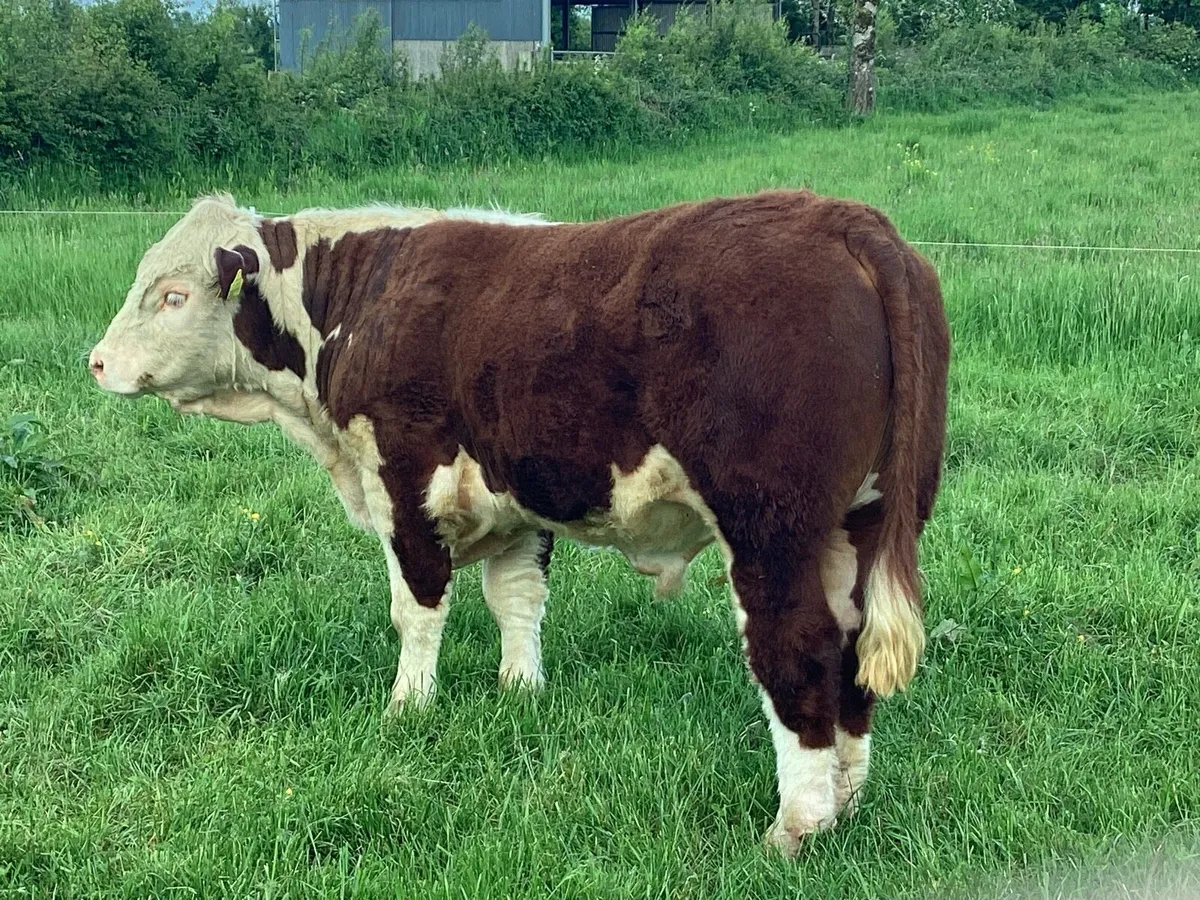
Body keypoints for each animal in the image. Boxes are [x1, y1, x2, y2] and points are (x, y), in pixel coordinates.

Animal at [89, 190, 950, 855]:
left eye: (172, 296)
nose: (95, 362)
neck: (360, 302)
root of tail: (845, 220)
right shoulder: (516, 494)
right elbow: (516, 601)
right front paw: (520, 692)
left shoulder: (403, 479)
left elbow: (417, 609)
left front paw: (408, 707)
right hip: (861, 521)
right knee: (853, 649)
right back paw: (844, 801)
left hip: (772, 532)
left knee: (798, 651)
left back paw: (796, 827)